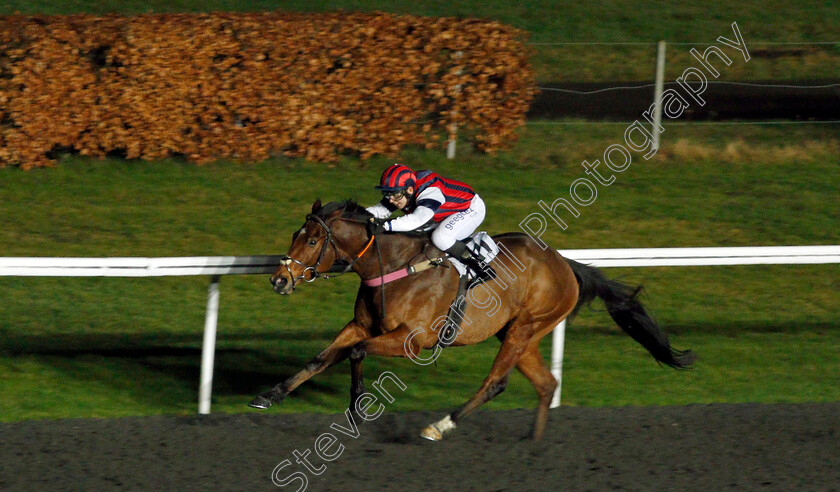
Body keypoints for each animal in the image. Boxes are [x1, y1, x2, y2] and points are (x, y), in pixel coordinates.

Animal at [249, 200, 696, 442]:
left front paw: (357, 410)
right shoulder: (362, 324)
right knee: (546, 384)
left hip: (524, 328)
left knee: (496, 383)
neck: (392, 265)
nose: (278, 279)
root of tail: (566, 264)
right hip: (520, 334)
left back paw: (439, 426)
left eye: (312, 240)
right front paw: (269, 395)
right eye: (294, 234)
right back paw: (533, 444)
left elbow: (356, 353)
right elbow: (321, 358)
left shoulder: (413, 340)